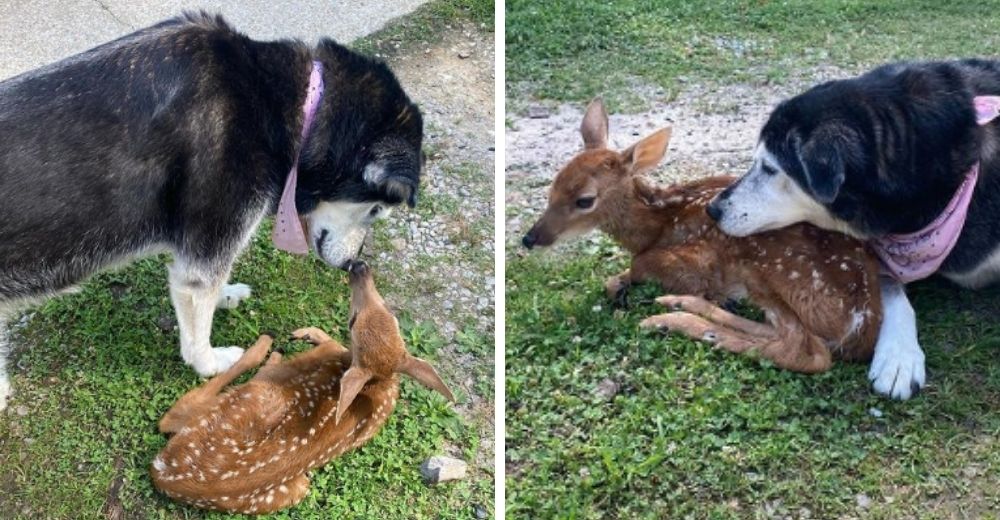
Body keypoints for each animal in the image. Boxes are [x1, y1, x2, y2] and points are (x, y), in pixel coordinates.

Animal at [0, 12, 422, 410]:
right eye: (376, 210)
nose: (355, 263)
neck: (286, 104)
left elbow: (214, 285)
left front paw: (227, 294)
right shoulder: (205, 258)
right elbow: (198, 327)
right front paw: (211, 363)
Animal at [152, 262, 454, 512]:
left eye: (352, 321)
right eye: (392, 313)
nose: (360, 267)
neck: (379, 385)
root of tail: (164, 473)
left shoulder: (303, 365)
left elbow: (328, 344)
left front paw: (303, 335)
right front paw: (309, 333)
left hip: (253, 396)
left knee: (173, 414)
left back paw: (262, 345)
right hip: (297, 488)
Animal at [520, 97, 880, 374]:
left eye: (584, 200)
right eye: (553, 185)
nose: (530, 238)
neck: (657, 226)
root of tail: (867, 323)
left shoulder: (700, 259)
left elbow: (641, 264)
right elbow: (614, 278)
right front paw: (622, 287)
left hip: (768, 268)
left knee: (807, 351)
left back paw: (672, 318)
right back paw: (679, 305)